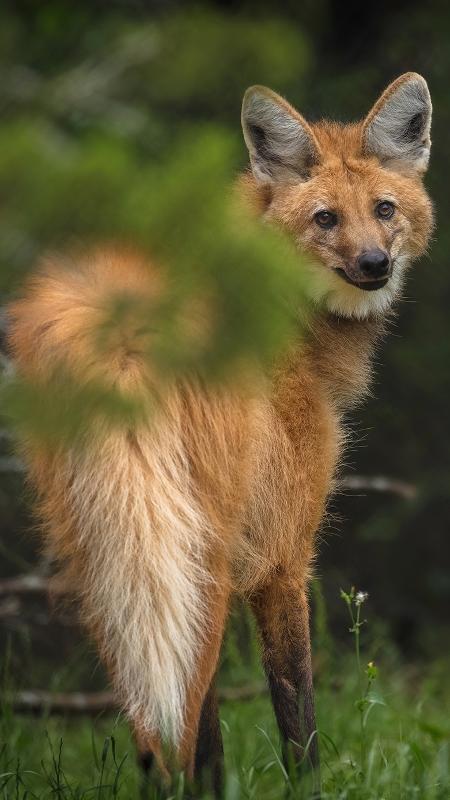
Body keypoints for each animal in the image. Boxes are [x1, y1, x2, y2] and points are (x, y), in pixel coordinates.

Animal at [6, 73, 432, 792]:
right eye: (325, 219)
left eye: (384, 209)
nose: (375, 263)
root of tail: (121, 325)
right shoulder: (284, 554)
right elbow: (296, 716)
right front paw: (309, 791)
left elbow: (212, 740)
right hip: (191, 553)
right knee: (172, 722)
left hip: (105, 556)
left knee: (153, 725)